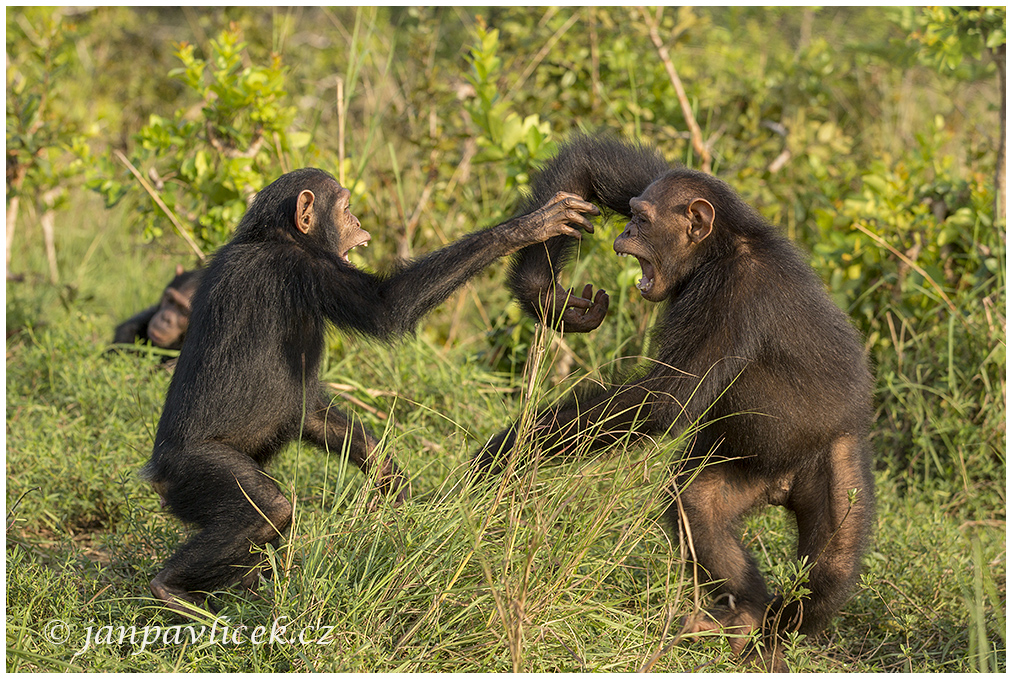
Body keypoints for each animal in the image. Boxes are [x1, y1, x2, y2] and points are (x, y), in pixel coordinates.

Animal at [142, 165, 599, 611]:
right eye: (345, 208)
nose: (359, 222)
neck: (279, 235)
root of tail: (155, 475)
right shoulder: (305, 267)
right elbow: (386, 305)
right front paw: (531, 225)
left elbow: (314, 414)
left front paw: (389, 479)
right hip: (193, 472)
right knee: (265, 511)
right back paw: (170, 587)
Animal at [475, 135, 878, 671]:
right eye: (632, 212)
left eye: (644, 221)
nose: (626, 229)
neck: (714, 252)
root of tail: (782, 485)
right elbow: (594, 161)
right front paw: (546, 294)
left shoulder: (732, 295)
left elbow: (664, 397)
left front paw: (507, 449)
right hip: (742, 467)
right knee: (696, 504)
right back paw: (747, 613)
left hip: (836, 459)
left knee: (831, 567)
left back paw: (771, 634)